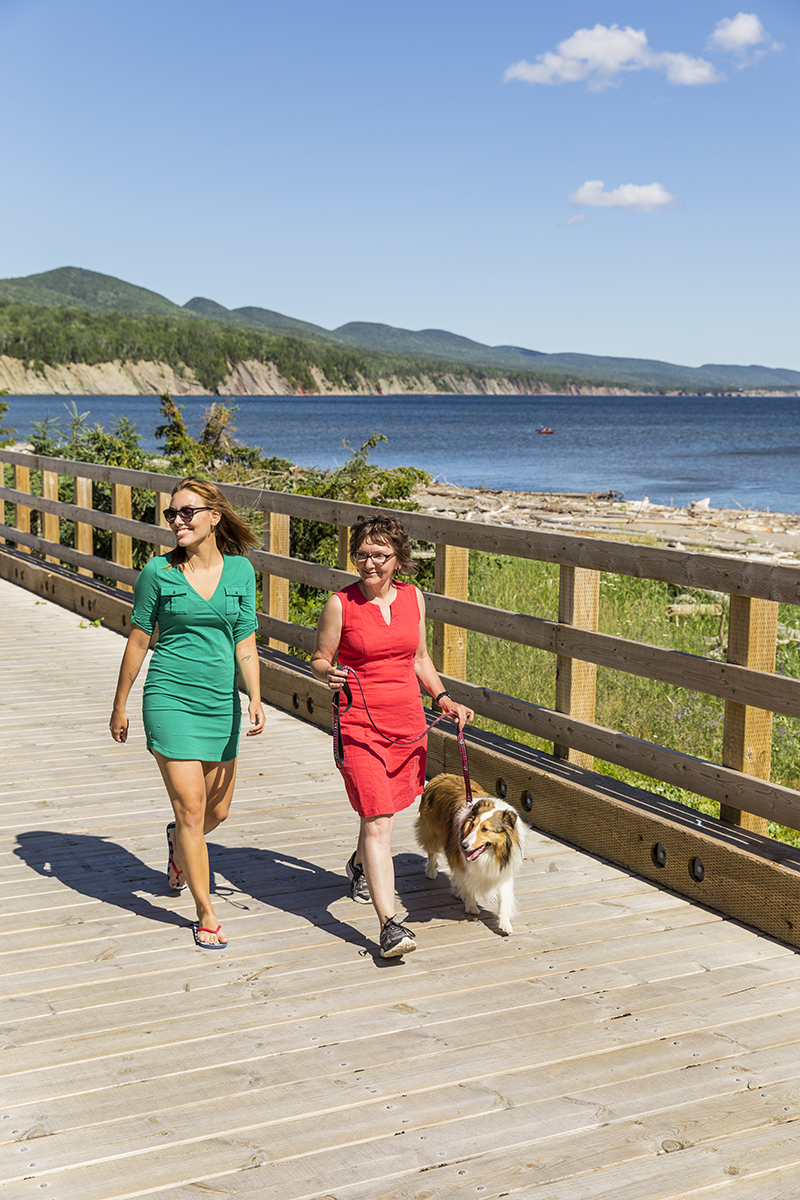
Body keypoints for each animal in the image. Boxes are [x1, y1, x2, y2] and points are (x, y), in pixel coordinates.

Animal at [415, 773, 526, 934]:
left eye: (485, 829)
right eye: (472, 825)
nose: (463, 845)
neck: (491, 854)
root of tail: (441, 776)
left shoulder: (503, 871)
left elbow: (504, 898)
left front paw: (505, 924)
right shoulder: (462, 860)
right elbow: (468, 884)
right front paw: (471, 906)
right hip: (433, 833)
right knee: (432, 853)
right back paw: (431, 872)